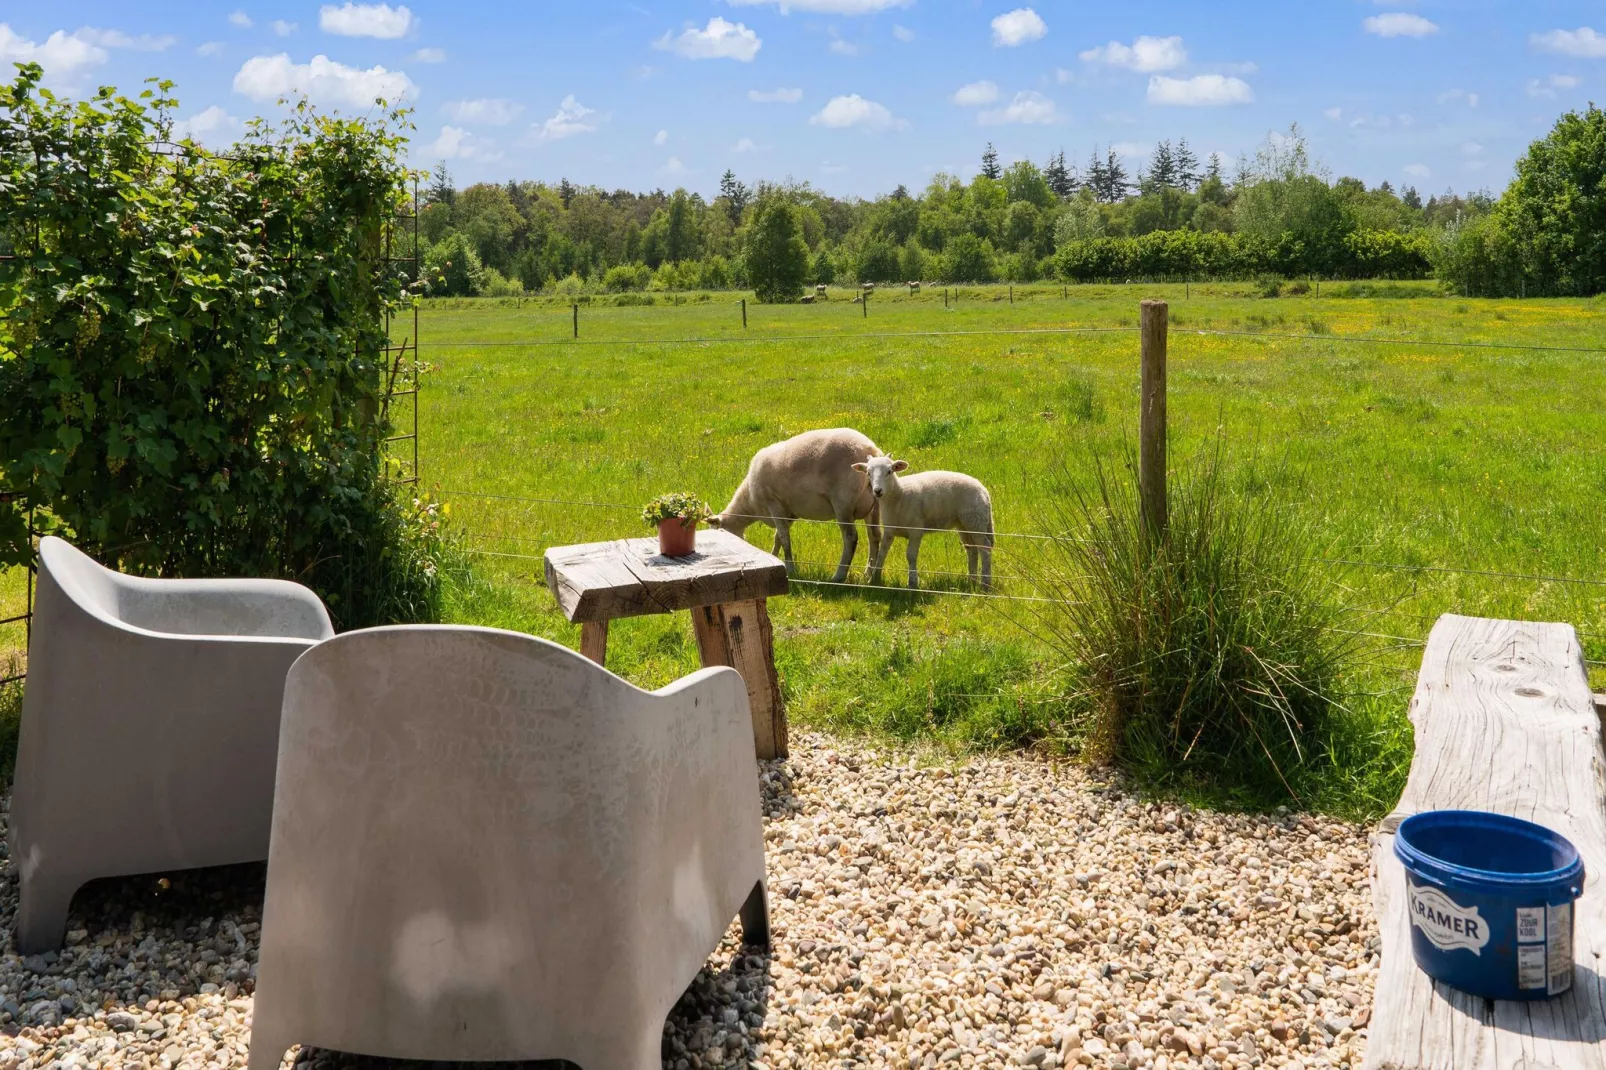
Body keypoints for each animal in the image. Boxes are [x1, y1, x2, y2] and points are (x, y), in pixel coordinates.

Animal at [713, 427, 886, 584]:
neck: (750, 502)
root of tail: (871, 449)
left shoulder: (774, 504)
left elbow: (784, 539)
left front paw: (790, 569)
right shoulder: (789, 513)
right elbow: (778, 537)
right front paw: (773, 557)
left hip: (843, 501)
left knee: (851, 537)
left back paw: (839, 576)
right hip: (874, 502)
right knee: (875, 535)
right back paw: (870, 575)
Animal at [854, 449, 989, 588]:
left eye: (889, 471)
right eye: (868, 473)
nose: (877, 491)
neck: (899, 495)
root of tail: (983, 489)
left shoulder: (916, 530)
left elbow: (911, 556)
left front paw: (913, 582)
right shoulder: (889, 530)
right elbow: (882, 553)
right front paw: (874, 579)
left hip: (976, 520)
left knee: (985, 548)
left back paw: (985, 583)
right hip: (964, 523)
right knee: (972, 549)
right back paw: (972, 581)